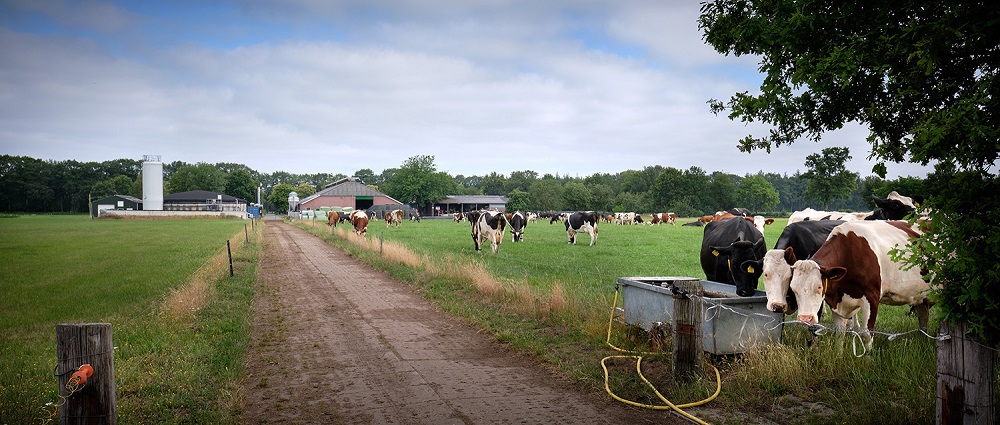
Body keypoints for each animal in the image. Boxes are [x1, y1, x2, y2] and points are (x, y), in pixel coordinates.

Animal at [788, 219, 928, 348]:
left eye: (819, 287)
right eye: (793, 289)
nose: (805, 319)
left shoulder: (872, 297)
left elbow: (866, 334)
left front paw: (868, 357)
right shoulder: (838, 301)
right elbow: (839, 333)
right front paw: (839, 354)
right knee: (923, 319)